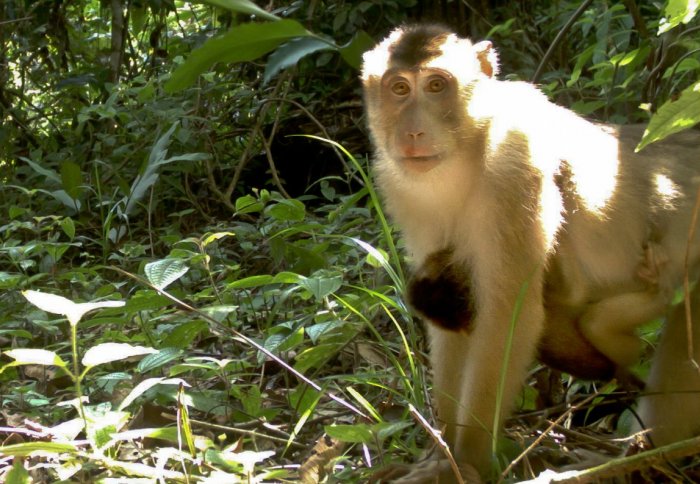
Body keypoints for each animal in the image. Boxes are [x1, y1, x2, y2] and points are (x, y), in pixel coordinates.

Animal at [364, 24, 700, 482]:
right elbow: (452, 321)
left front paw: (465, 461)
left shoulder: (514, 170)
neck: (470, 149)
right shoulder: (404, 192)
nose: (412, 132)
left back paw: (646, 455)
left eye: (436, 86)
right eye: (398, 88)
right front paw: (440, 452)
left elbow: (509, 317)